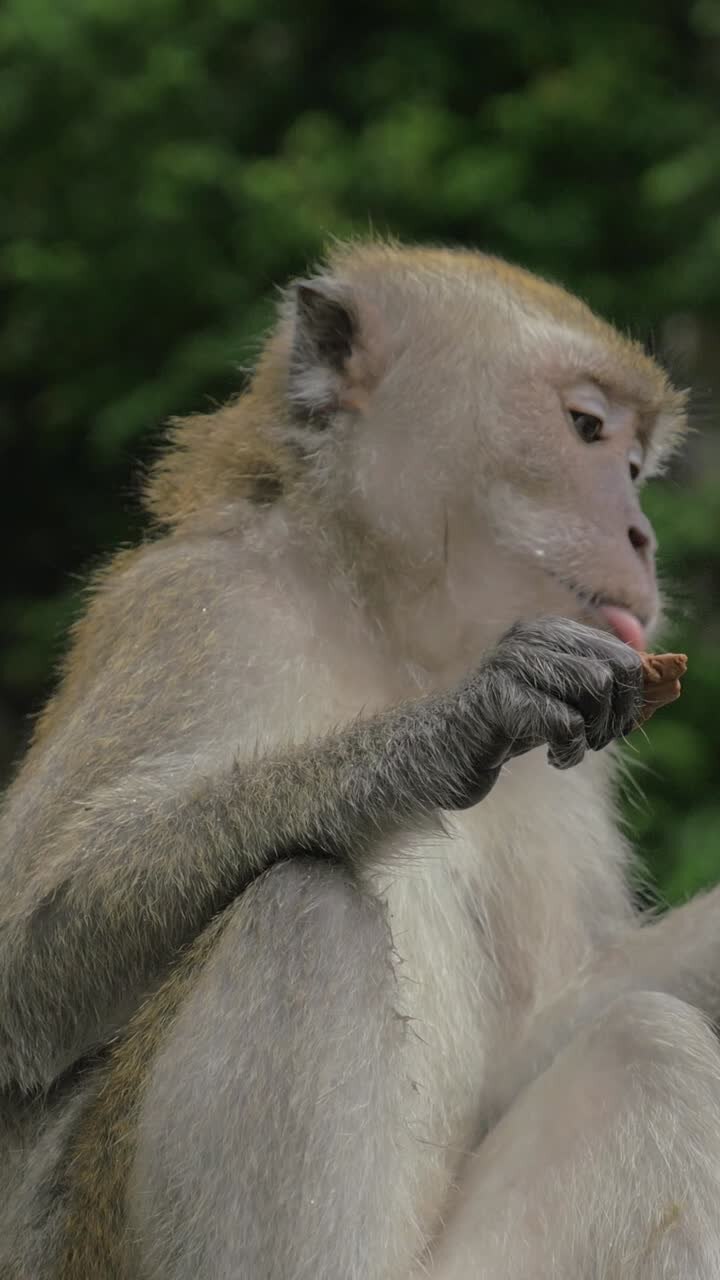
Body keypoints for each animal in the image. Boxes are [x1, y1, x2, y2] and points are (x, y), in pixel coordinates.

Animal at [1, 239, 719, 1279]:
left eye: (635, 463)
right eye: (586, 429)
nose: (644, 536)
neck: (388, 630)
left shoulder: (575, 771)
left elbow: (532, 1047)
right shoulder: (193, 610)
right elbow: (22, 959)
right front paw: (443, 734)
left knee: (644, 1051)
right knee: (302, 909)